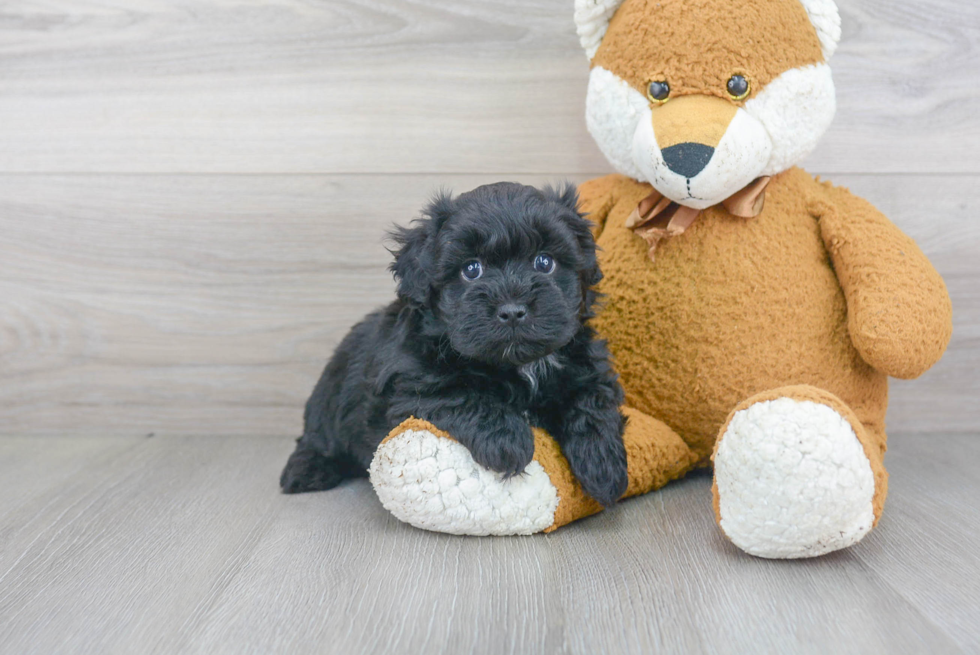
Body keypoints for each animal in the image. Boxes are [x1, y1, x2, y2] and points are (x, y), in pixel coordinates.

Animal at [280, 183, 628, 508]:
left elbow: (591, 402)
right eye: (471, 270)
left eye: (545, 262)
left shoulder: (587, 366)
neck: (515, 365)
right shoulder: (413, 385)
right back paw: (307, 470)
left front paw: (604, 466)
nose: (512, 310)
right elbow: (462, 394)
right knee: (316, 437)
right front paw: (508, 441)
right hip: (330, 398)